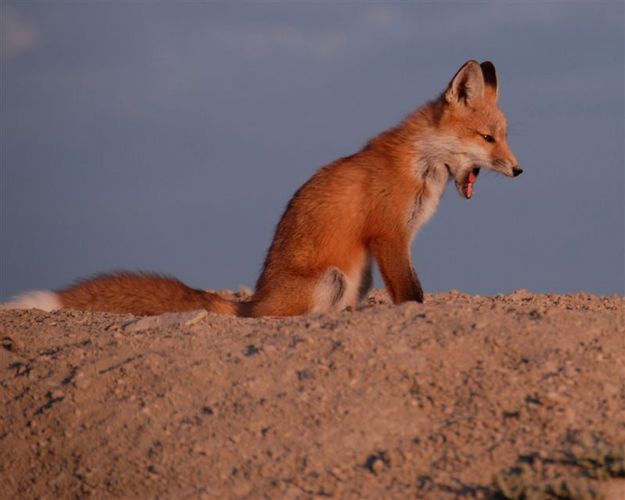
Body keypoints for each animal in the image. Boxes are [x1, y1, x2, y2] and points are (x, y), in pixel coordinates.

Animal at [3, 58, 520, 316]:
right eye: (488, 138)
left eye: (505, 136)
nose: (519, 171)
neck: (421, 163)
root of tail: (253, 303)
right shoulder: (389, 235)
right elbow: (412, 294)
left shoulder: (394, 241)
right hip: (334, 277)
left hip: (358, 277)